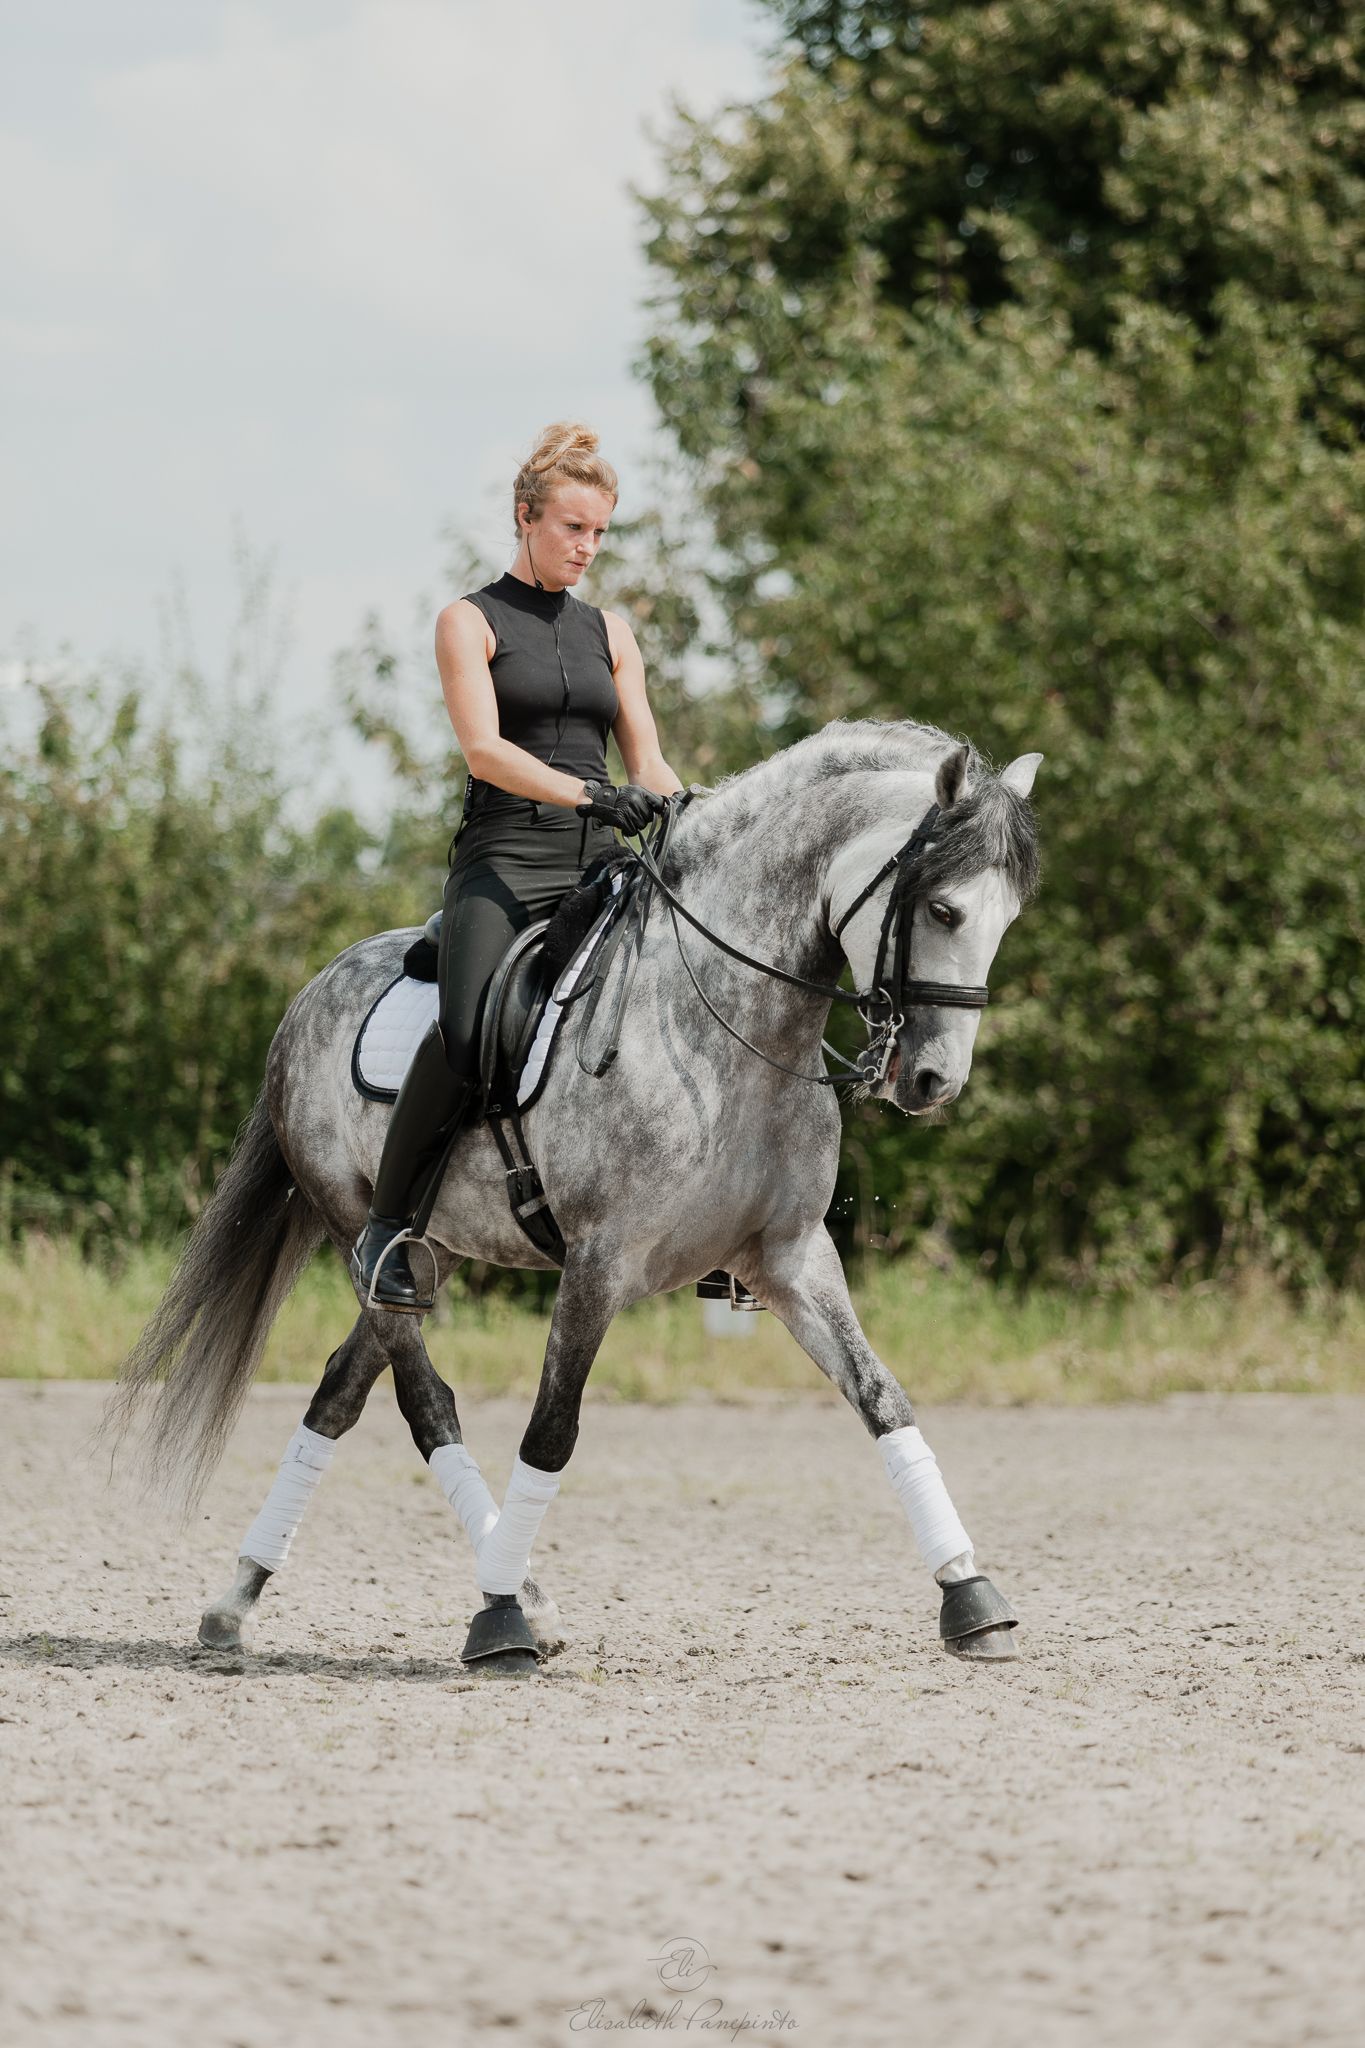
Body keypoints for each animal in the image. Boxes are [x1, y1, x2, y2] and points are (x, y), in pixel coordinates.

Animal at [107, 718, 1042, 1674]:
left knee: (339, 1389)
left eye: (1005, 917)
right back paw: (507, 1600)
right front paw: (495, 1621)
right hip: (360, 1234)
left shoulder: (789, 1258)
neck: (728, 1027)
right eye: (941, 911)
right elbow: (550, 1430)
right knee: (424, 1399)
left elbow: (881, 1396)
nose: (932, 1082)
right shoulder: (600, 1262)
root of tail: (311, 994)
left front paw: (971, 1597)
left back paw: (244, 1597)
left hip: (430, 1250)